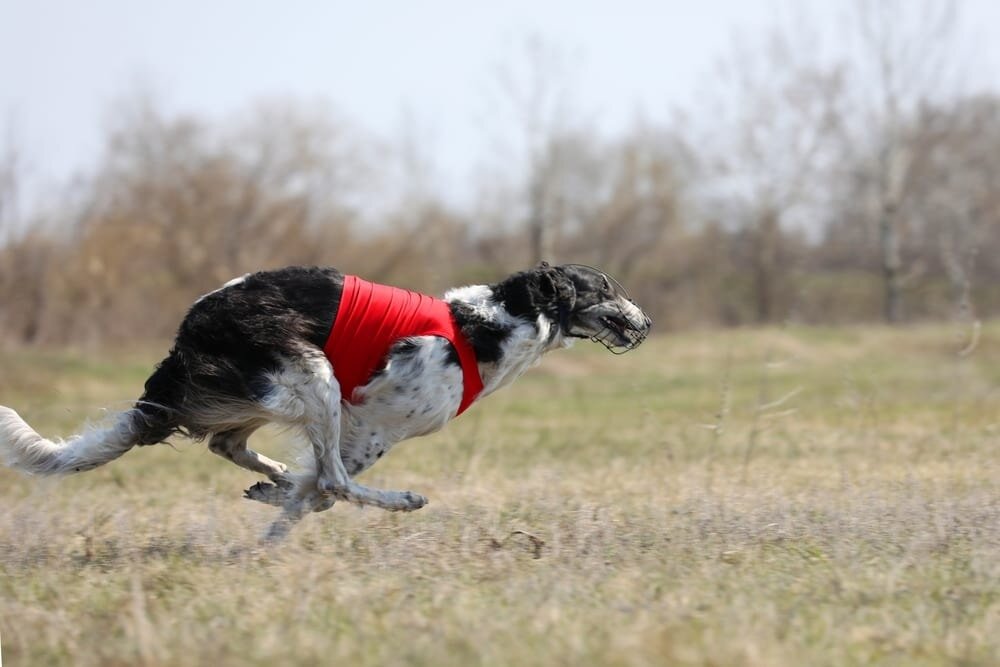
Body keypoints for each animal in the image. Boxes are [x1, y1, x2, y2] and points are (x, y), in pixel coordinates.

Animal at [0, 264, 652, 536]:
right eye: (605, 287)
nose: (647, 323)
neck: (486, 326)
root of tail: (189, 334)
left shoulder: (364, 427)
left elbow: (311, 491)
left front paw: (276, 504)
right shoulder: (371, 421)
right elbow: (328, 487)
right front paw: (271, 537)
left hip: (263, 396)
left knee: (228, 444)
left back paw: (273, 477)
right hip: (315, 377)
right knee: (330, 477)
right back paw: (401, 500)